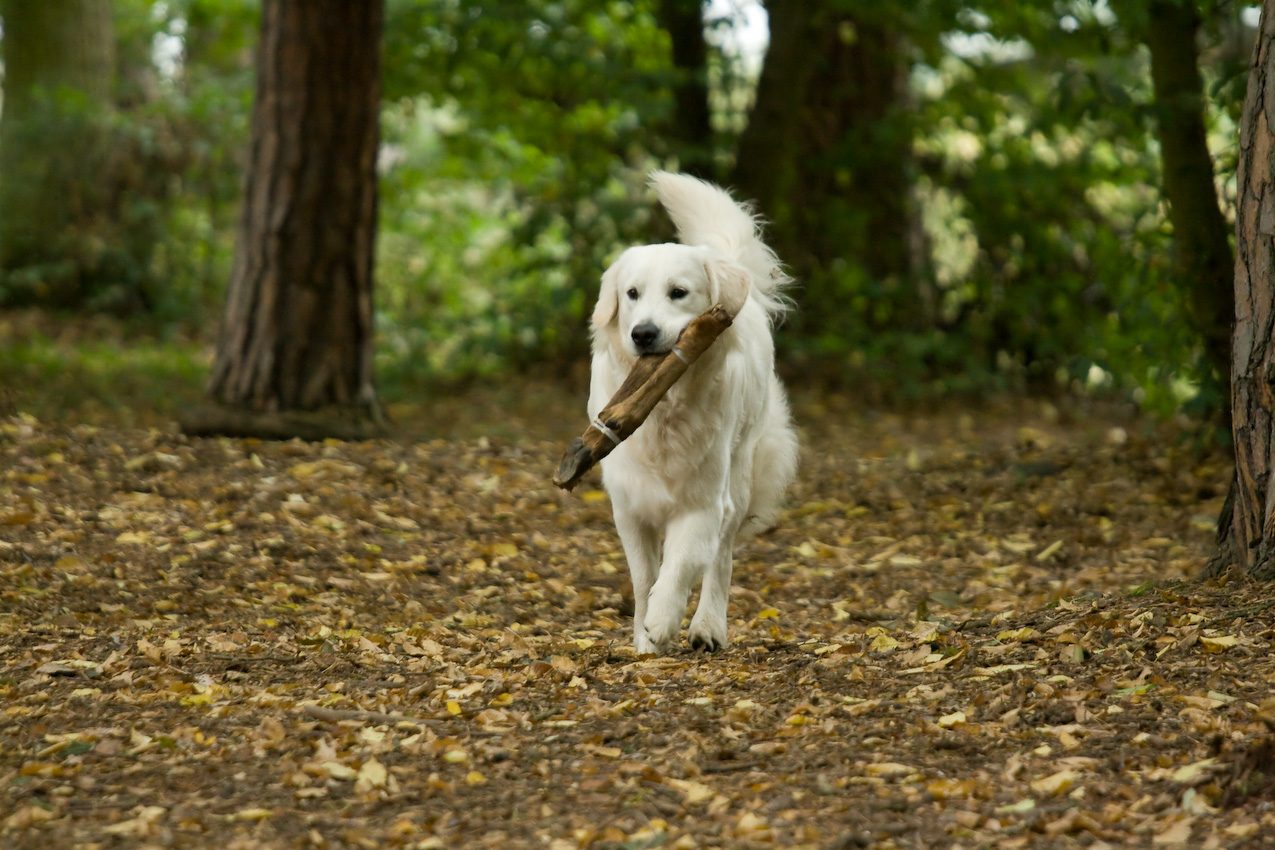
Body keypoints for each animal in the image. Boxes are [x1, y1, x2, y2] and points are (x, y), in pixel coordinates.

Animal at [586, 170, 795, 652]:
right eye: (631, 294)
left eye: (678, 293)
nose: (643, 334)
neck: (664, 405)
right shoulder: (629, 505)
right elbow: (644, 577)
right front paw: (645, 640)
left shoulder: (703, 502)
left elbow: (681, 564)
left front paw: (663, 620)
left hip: (740, 471)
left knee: (721, 558)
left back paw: (708, 627)